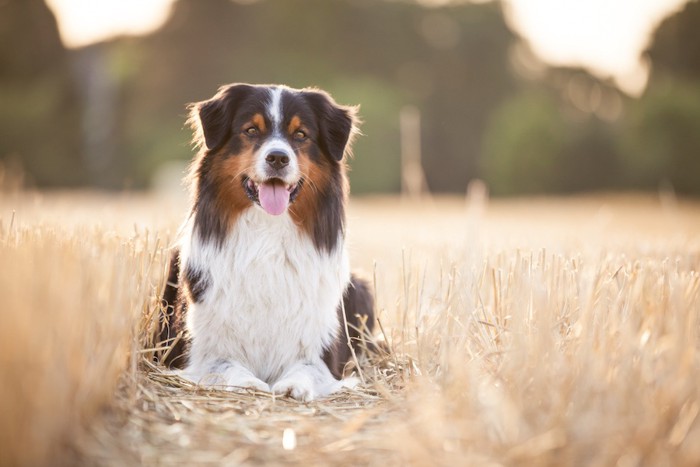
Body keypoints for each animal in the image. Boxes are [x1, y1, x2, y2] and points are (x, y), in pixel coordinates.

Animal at [157, 84, 378, 402]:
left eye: (300, 134)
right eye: (251, 130)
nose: (277, 158)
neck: (267, 236)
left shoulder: (323, 352)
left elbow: (306, 369)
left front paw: (293, 386)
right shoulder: (197, 352)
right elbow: (226, 366)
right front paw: (249, 383)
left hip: (361, 289)